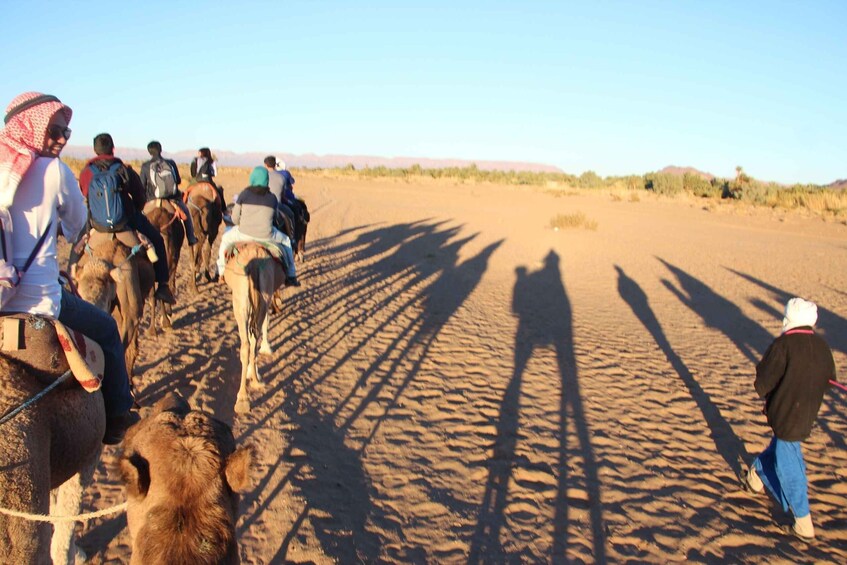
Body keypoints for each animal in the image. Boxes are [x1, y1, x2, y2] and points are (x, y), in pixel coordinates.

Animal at [144, 198, 186, 332]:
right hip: (171, 259)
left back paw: (152, 329)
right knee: (163, 288)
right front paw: (168, 313)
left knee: (154, 293)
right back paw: (165, 321)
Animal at [224, 243, 286, 414]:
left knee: (247, 343)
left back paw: (243, 398)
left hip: (241, 302)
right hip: (260, 298)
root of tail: (254, 263)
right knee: (253, 339)